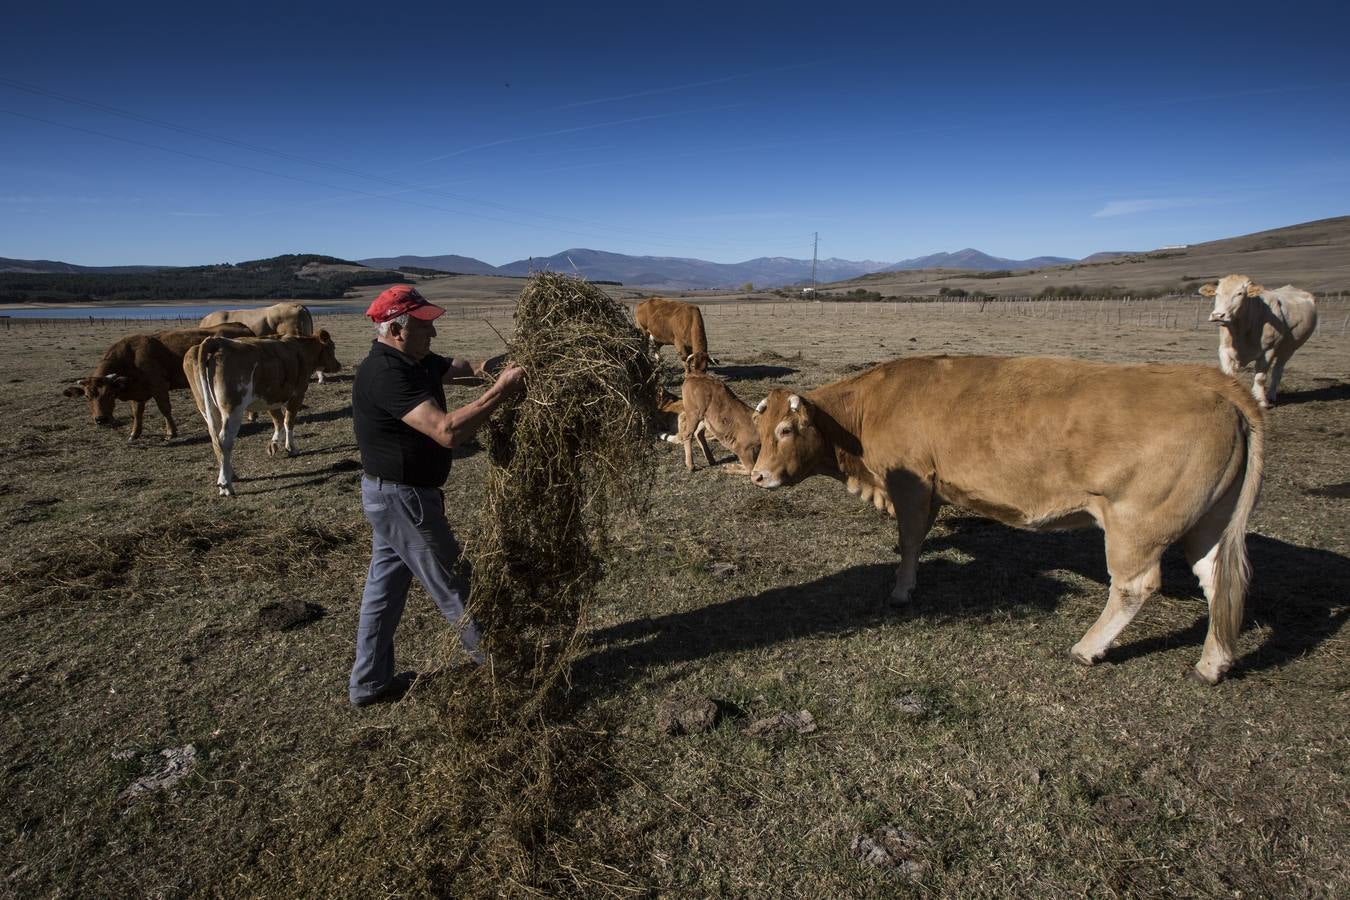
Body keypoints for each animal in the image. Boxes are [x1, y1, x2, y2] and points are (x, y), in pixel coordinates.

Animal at [183, 333, 342, 496]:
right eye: (331, 347)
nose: (338, 365)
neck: (301, 349)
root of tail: (216, 341)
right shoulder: (298, 394)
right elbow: (288, 421)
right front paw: (291, 447)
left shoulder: (271, 397)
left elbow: (278, 420)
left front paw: (273, 445)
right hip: (233, 409)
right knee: (224, 440)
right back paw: (225, 484)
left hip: (207, 408)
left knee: (215, 439)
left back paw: (230, 474)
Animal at [750, 356, 1263, 682]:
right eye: (760, 428)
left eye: (786, 429)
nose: (757, 475)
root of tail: (1211, 382)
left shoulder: (911, 485)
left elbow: (911, 540)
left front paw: (901, 590)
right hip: (1208, 524)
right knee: (1218, 580)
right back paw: (1213, 664)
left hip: (1136, 527)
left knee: (1134, 587)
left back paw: (1088, 647)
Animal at [1204, 271, 1317, 404]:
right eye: (1217, 293)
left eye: (1239, 293)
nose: (1218, 315)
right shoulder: (1224, 349)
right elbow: (1229, 375)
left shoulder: (1269, 350)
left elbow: (1260, 377)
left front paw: (1261, 400)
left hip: (1288, 350)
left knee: (1277, 371)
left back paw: (1271, 396)